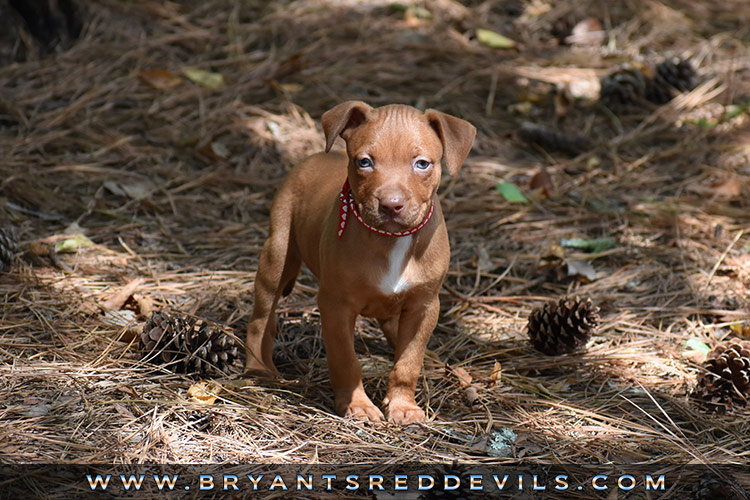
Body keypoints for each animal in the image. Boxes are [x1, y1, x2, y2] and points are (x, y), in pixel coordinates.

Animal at [247, 102, 476, 426]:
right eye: (364, 162)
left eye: (422, 164)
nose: (391, 205)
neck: (391, 239)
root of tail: (315, 156)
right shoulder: (336, 306)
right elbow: (346, 360)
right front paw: (357, 405)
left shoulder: (424, 305)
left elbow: (408, 361)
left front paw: (403, 405)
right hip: (277, 258)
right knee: (260, 318)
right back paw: (258, 368)